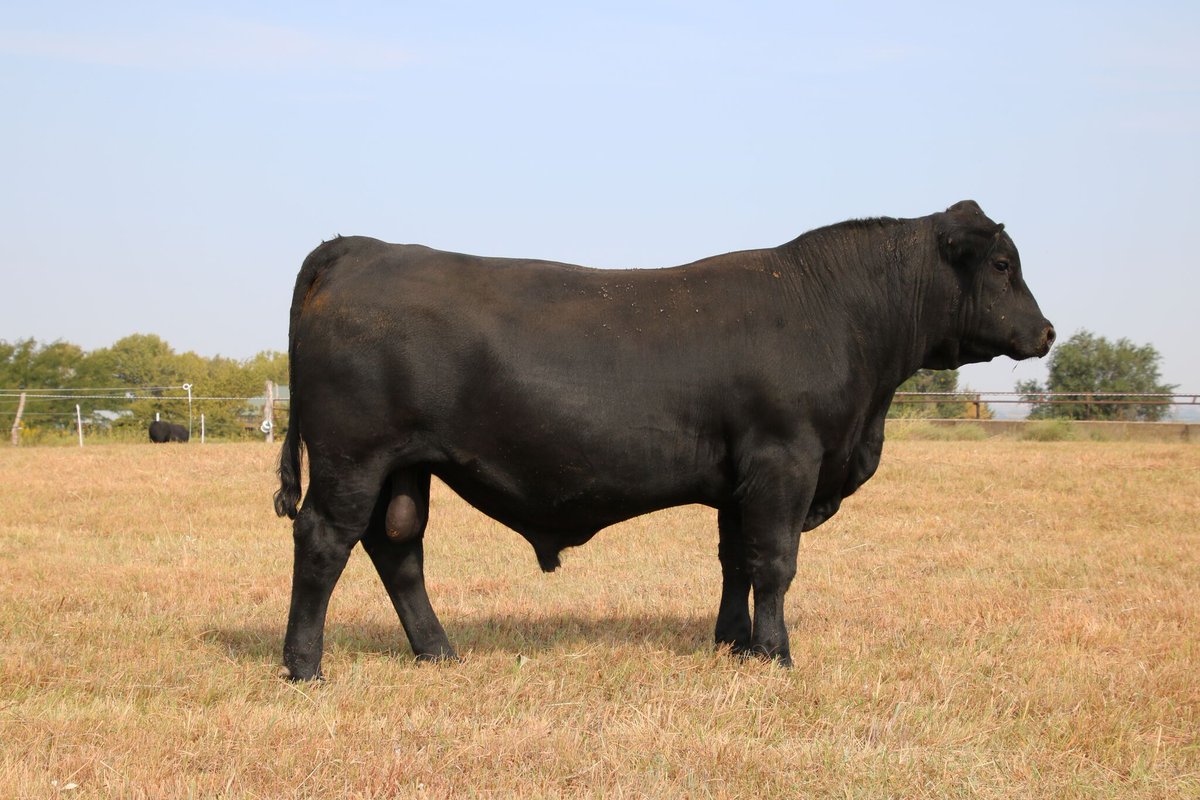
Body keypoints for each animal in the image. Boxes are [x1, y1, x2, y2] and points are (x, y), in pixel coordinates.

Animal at [273, 200, 1054, 680]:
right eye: (1001, 265)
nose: (1045, 331)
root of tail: (356, 248)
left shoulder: (742, 480)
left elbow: (736, 560)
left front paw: (734, 644)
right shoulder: (785, 461)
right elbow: (776, 563)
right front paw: (776, 655)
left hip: (405, 465)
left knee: (398, 548)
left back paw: (439, 653)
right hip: (352, 457)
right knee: (325, 540)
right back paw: (305, 666)